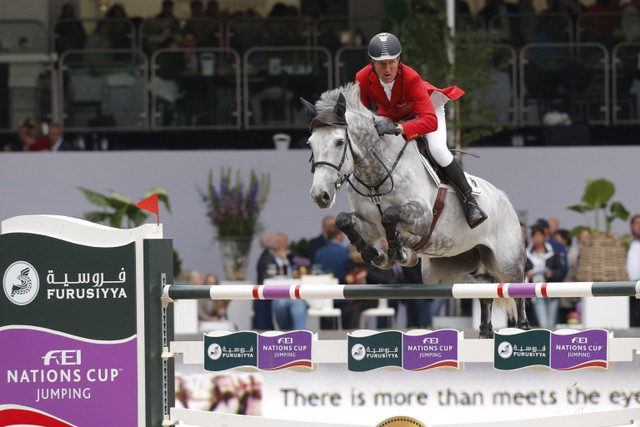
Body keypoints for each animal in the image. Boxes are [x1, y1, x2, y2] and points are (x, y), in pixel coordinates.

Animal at [302, 83, 528, 338]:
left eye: (339, 142)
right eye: (310, 143)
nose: (320, 195)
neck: (375, 179)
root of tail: (504, 199)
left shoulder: (423, 218)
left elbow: (391, 215)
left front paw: (399, 253)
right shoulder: (369, 228)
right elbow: (344, 221)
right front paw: (377, 255)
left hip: (507, 262)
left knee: (516, 291)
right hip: (448, 270)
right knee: (486, 288)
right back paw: (484, 330)